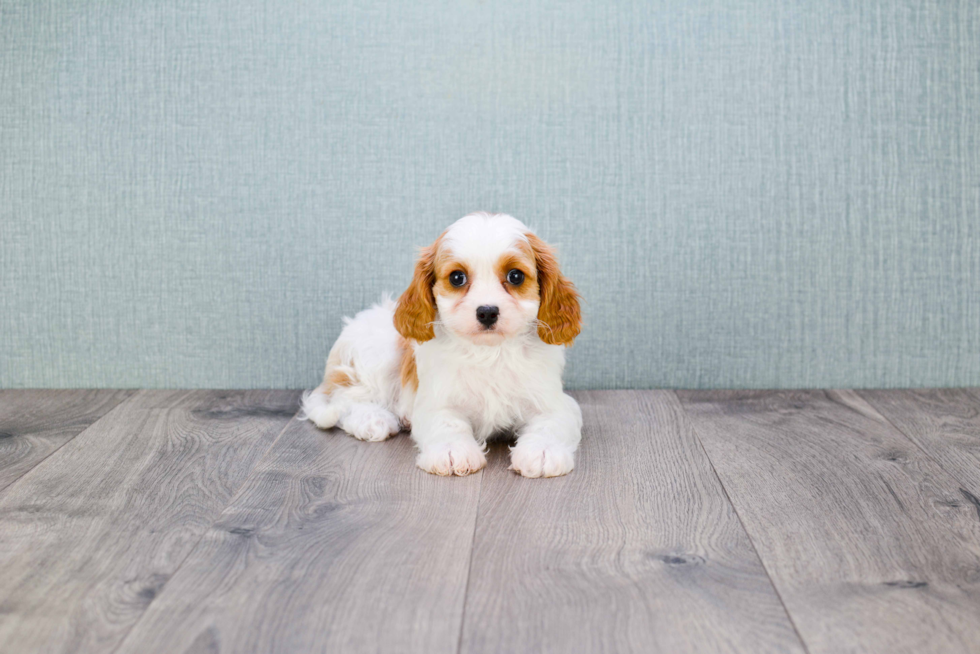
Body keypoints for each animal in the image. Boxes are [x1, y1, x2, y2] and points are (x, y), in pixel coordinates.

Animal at [302, 213, 580, 480]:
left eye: (516, 276)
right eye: (457, 278)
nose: (487, 312)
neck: (490, 352)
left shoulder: (553, 402)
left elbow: (550, 423)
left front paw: (543, 451)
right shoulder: (436, 401)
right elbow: (447, 423)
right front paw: (452, 450)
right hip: (378, 354)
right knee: (344, 400)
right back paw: (373, 419)